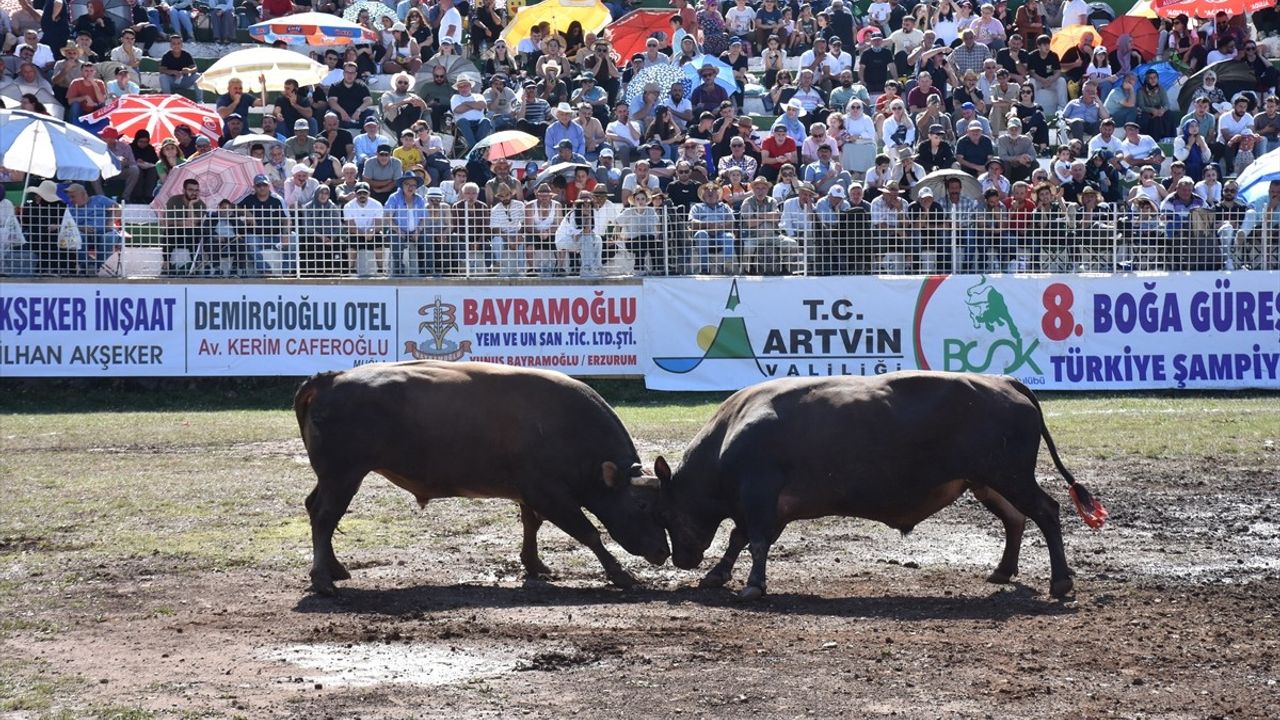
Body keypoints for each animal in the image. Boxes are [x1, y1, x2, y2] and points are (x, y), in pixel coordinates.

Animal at [291, 358, 670, 594]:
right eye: (640, 505)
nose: (663, 551)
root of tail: (331, 379)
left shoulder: (529, 492)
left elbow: (531, 524)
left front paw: (534, 564)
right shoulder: (550, 494)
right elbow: (589, 533)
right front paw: (620, 574)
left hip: (334, 478)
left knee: (315, 509)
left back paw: (335, 569)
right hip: (343, 475)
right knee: (325, 516)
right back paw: (323, 580)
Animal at [655, 371, 1105, 597]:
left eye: (669, 513)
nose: (679, 559)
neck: (730, 433)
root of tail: (1005, 381)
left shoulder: (760, 495)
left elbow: (755, 541)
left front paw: (752, 585)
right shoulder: (771, 506)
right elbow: (739, 538)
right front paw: (717, 575)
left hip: (1010, 476)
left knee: (1046, 511)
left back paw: (1061, 582)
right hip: (988, 481)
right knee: (1016, 519)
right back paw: (1002, 571)